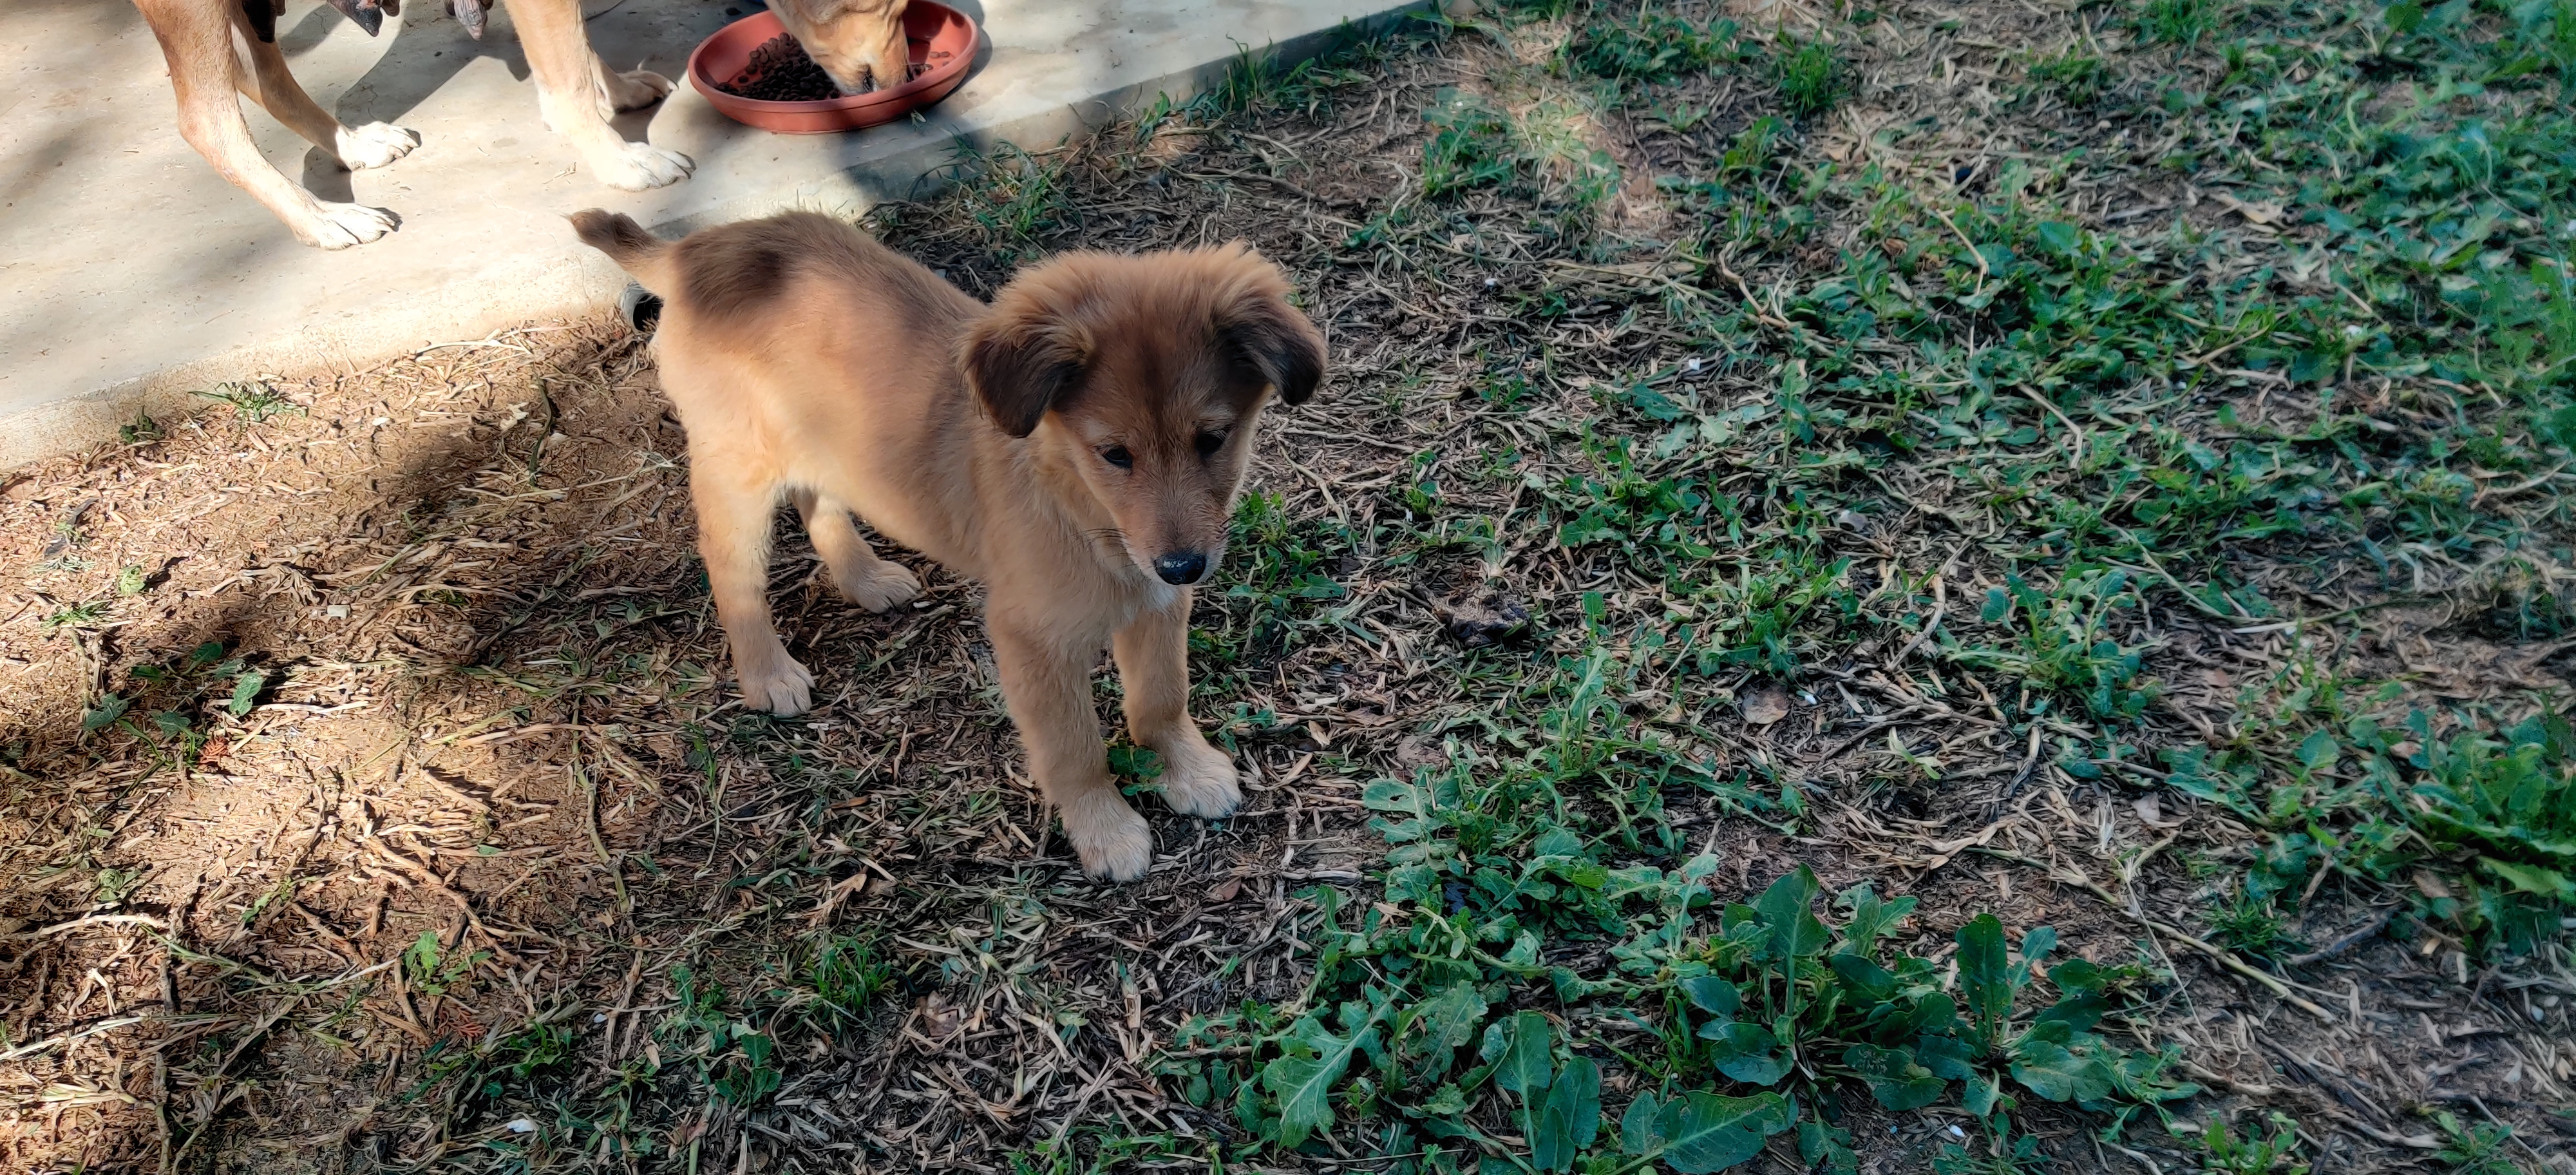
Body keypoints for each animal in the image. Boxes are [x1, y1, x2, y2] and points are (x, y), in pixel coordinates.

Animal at [569, 209, 1324, 881]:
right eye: (1114, 454)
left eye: (1213, 439)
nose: (1183, 564)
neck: (1080, 506)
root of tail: (692, 253)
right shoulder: (1032, 641)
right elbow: (1073, 747)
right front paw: (1105, 830)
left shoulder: (1156, 605)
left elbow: (1161, 699)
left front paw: (1186, 770)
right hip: (738, 471)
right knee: (733, 572)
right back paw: (768, 672)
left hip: (826, 444)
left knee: (820, 501)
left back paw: (866, 579)